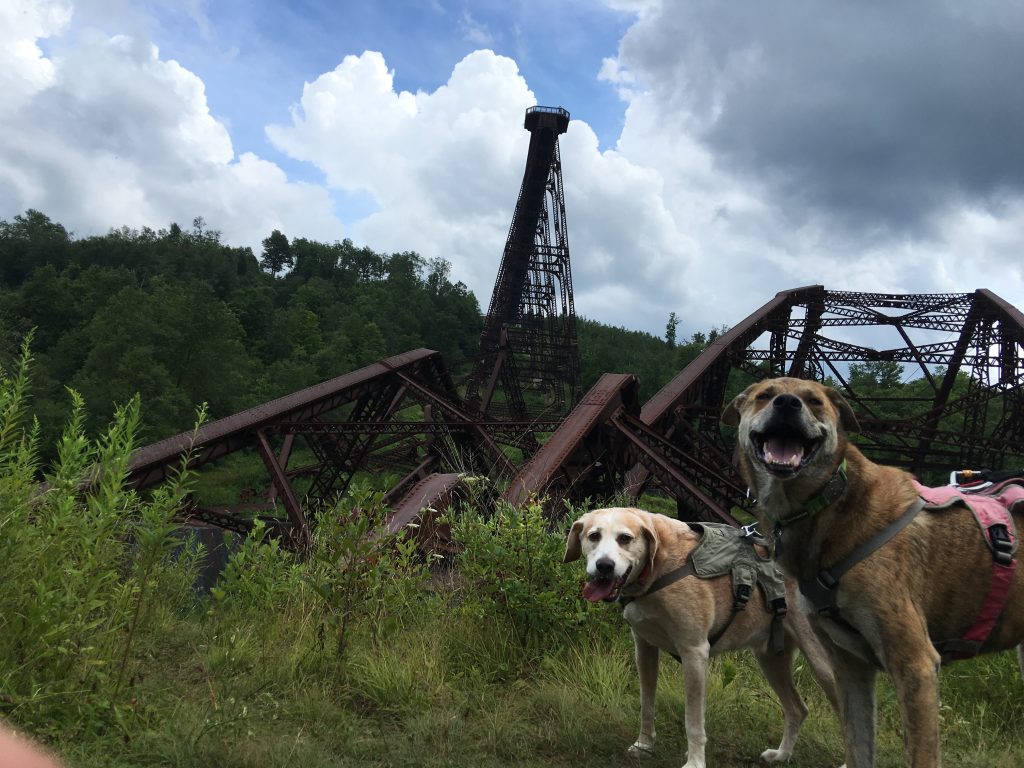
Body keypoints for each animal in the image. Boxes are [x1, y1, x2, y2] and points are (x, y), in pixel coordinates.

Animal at [561, 507, 839, 765]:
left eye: (625, 538)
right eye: (594, 536)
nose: (604, 566)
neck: (659, 566)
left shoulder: (694, 652)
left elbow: (693, 721)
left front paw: (694, 761)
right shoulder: (645, 649)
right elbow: (647, 705)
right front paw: (644, 745)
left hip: (825, 666)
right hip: (771, 660)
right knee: (797, 709)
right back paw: (782, 755)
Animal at [724, 380, 1024, 768]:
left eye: (814, 401)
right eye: (764, 394)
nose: (787, 403)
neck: (829, 507)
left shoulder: (915, 665)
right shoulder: (850, 666)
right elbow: (858, 745)